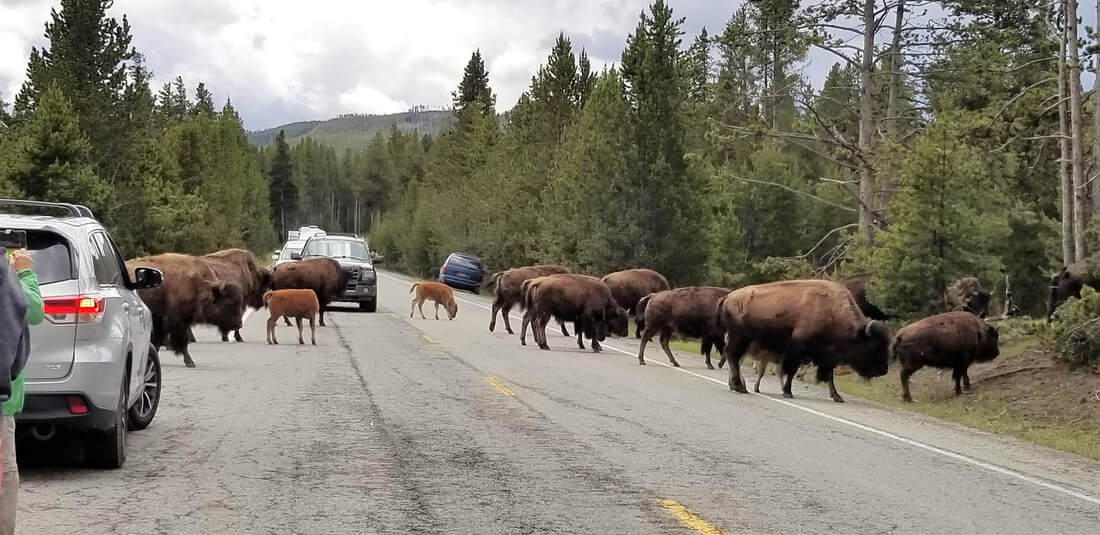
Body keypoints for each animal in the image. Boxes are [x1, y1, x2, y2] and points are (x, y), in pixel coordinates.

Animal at [717, 279, 888, 400]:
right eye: (873, 346)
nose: (883, 370)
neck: (832, 311)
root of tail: (728, 297)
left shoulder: (828, 357)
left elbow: (829, 376)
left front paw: (837, 397)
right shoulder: (797, 350)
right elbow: (791, 371)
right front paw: (787, 392)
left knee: (734, 359)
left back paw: (737, 386)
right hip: (740, 338)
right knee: (733, 357)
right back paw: (739, 387)